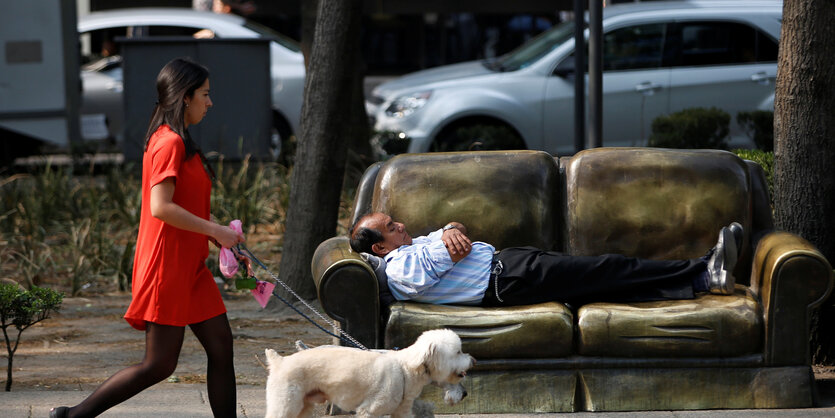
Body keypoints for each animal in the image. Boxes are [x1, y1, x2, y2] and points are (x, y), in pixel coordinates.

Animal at [264, 330, 474, 418]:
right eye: (458, 352)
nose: (472, 360)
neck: (406, 369)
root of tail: (279, 361)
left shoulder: (402, 412)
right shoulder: (370, 411)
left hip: (302, 407)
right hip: (285, 403)